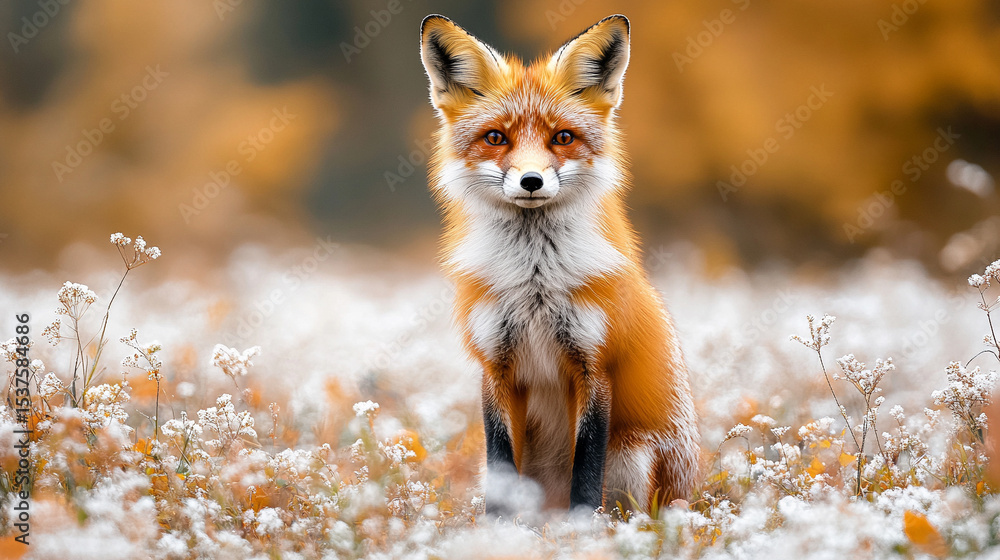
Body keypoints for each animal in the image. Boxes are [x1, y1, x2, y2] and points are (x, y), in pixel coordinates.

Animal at [419, 14, 700, 515]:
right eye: (497, 138)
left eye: (562, 137)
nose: (531, 180)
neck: (535, 280)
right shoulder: (496, 367)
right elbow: (501, 464)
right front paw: (496, 529)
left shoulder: (595, 365)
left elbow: (585, 471)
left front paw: (583, 527)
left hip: (633, 457)